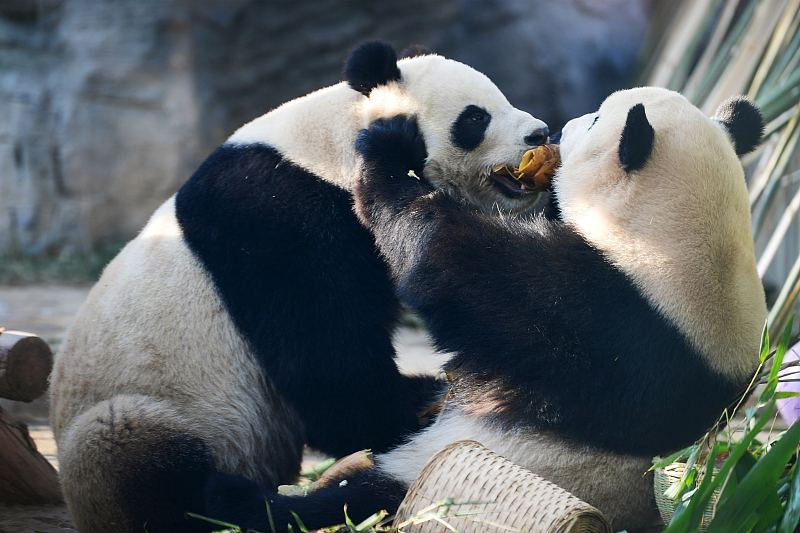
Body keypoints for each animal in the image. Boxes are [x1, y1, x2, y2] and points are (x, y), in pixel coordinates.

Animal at [50, 41, 552, 532]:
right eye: (475, 118)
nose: (541, 134)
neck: (328, 146)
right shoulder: (274, 216)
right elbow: (321, 354)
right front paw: (417, 403)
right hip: (150, 418)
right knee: (133, 448)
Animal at [206, 88, 768, 532]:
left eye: (593, 120)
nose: (559, 127)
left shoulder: (603, 317)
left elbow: (446, 258)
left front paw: (387, 153)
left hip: (430, 475)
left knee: (336, 507)